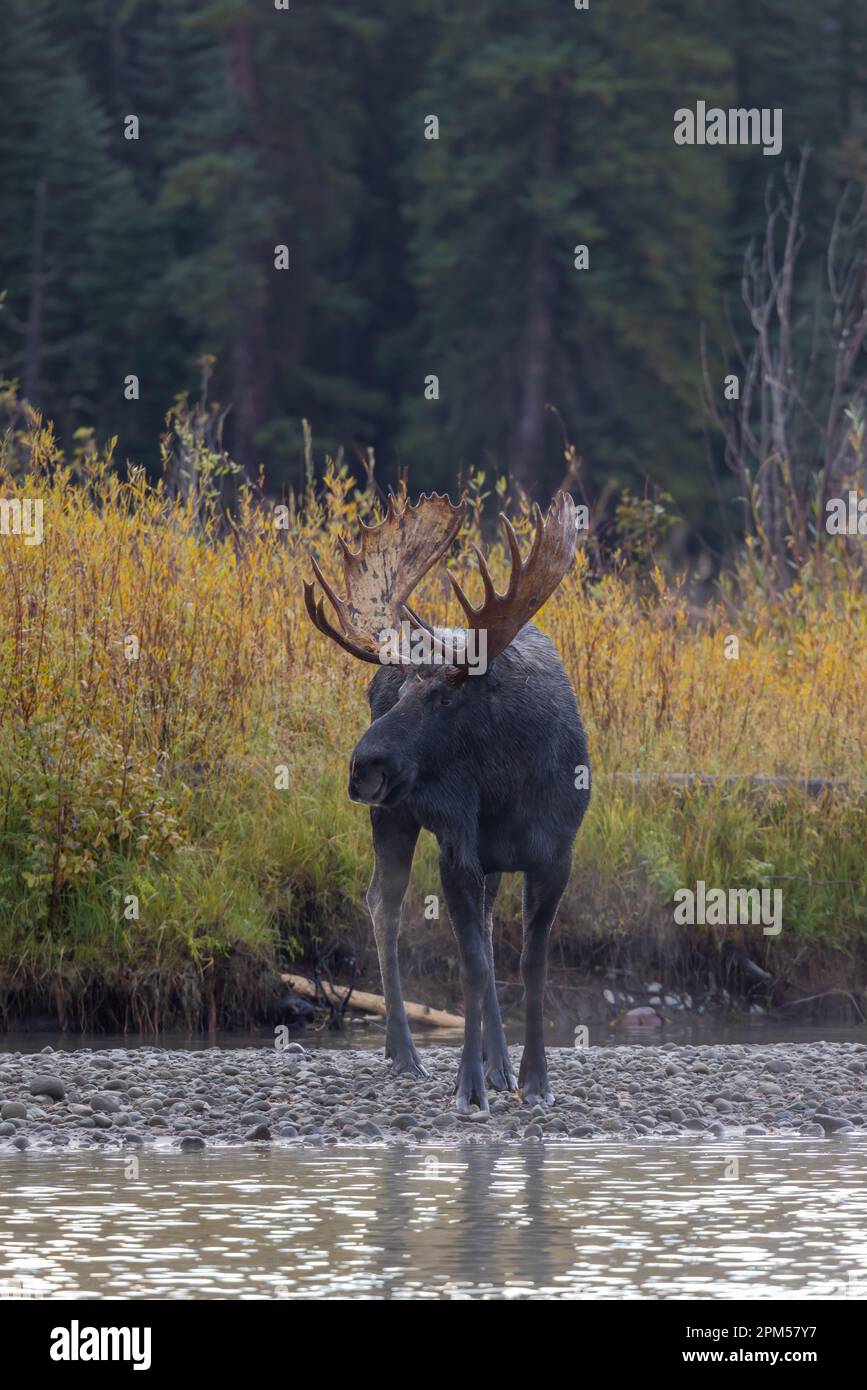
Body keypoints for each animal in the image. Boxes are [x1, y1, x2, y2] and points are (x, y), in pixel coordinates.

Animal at [303, 491, 590, 1111]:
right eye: (403, 689)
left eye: (443, 695)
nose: (360, 767)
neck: (511, 787)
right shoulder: (457, 845)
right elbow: (474, 967)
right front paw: (469, 1088)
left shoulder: (556, 854)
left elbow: (529, 964)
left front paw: (535, 1081)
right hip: (394, 814)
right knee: (382, 904)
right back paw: (404, 1052)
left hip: (483, 856)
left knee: (482, 929)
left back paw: (500, 1065)